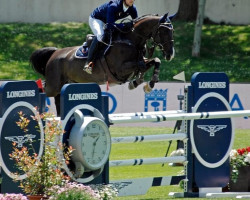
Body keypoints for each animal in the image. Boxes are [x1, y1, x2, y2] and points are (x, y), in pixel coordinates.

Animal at [30, 12, 175, 115]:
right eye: (163, 31)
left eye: (172, 31)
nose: (170, 54)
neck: (130, 40)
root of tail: (55, 53)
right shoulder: (120, 69)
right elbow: (142, 65)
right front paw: (139, 82)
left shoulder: (138, 62)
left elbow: (154, 61)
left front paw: (146, 84)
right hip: (53, 85)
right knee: (43, 88)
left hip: (67, 83)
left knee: (58, 98)